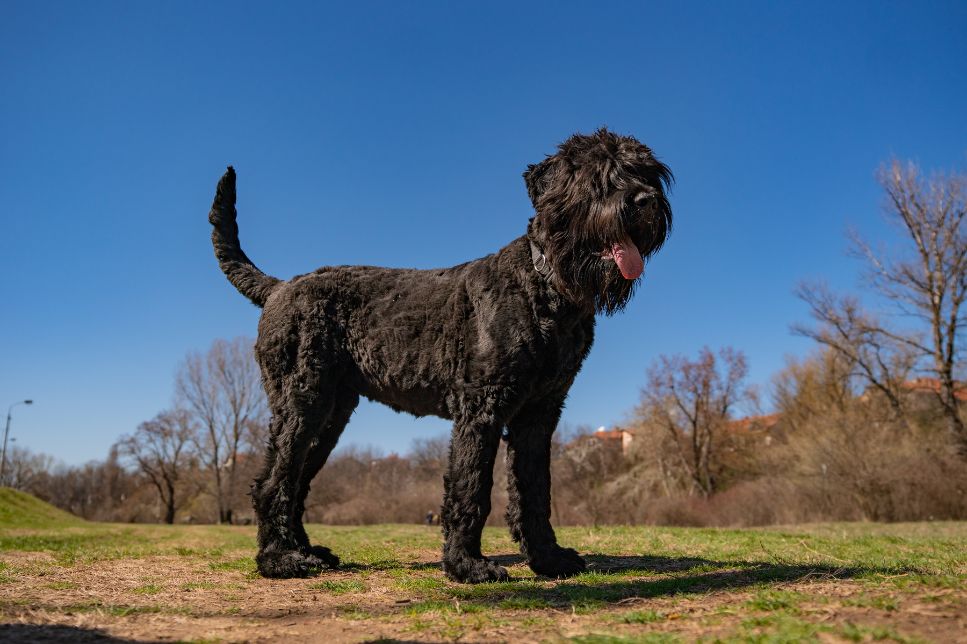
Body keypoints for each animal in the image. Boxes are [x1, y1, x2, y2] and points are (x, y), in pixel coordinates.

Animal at [208, 130, 672, 584]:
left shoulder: (539, 414)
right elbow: (471, 488)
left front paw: (548, 558)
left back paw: (307, 551)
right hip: (302, 403)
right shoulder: (482, 407)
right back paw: (279, 560)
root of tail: (279, 287)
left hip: (330, 414)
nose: (646, 201)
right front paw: (467, 565)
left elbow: (535, 490)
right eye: (600, 176)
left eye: (647, 172)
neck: (545, 286)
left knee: (297, 481)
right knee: (272, 482)